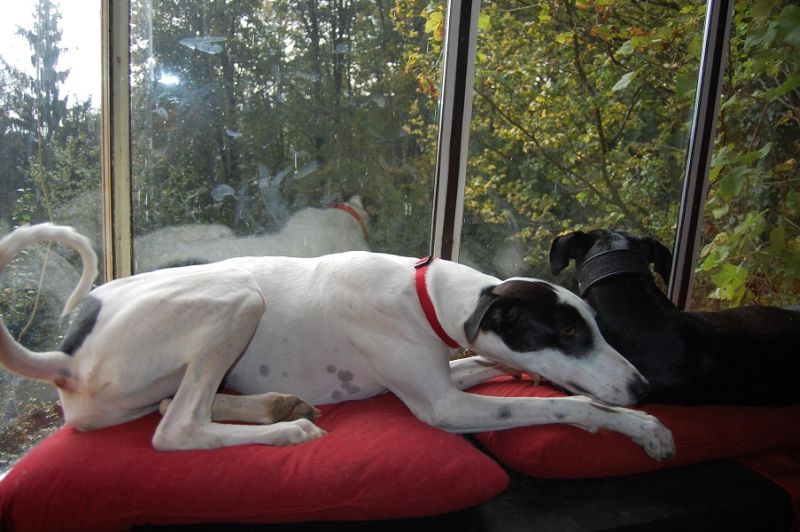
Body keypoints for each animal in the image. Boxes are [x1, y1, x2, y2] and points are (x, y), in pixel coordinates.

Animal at [0, 223, 674, 460]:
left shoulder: (442, 373)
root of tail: (66, 354)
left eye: (594, 322)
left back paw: (276, 405)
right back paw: (284, 429)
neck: (426, 293)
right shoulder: (443, 406)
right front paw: (641, 427)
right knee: (175, 427)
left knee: (172, 402)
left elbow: (488, 362)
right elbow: (574, 403)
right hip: (238, 297)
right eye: (569, 331)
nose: (646, 385)